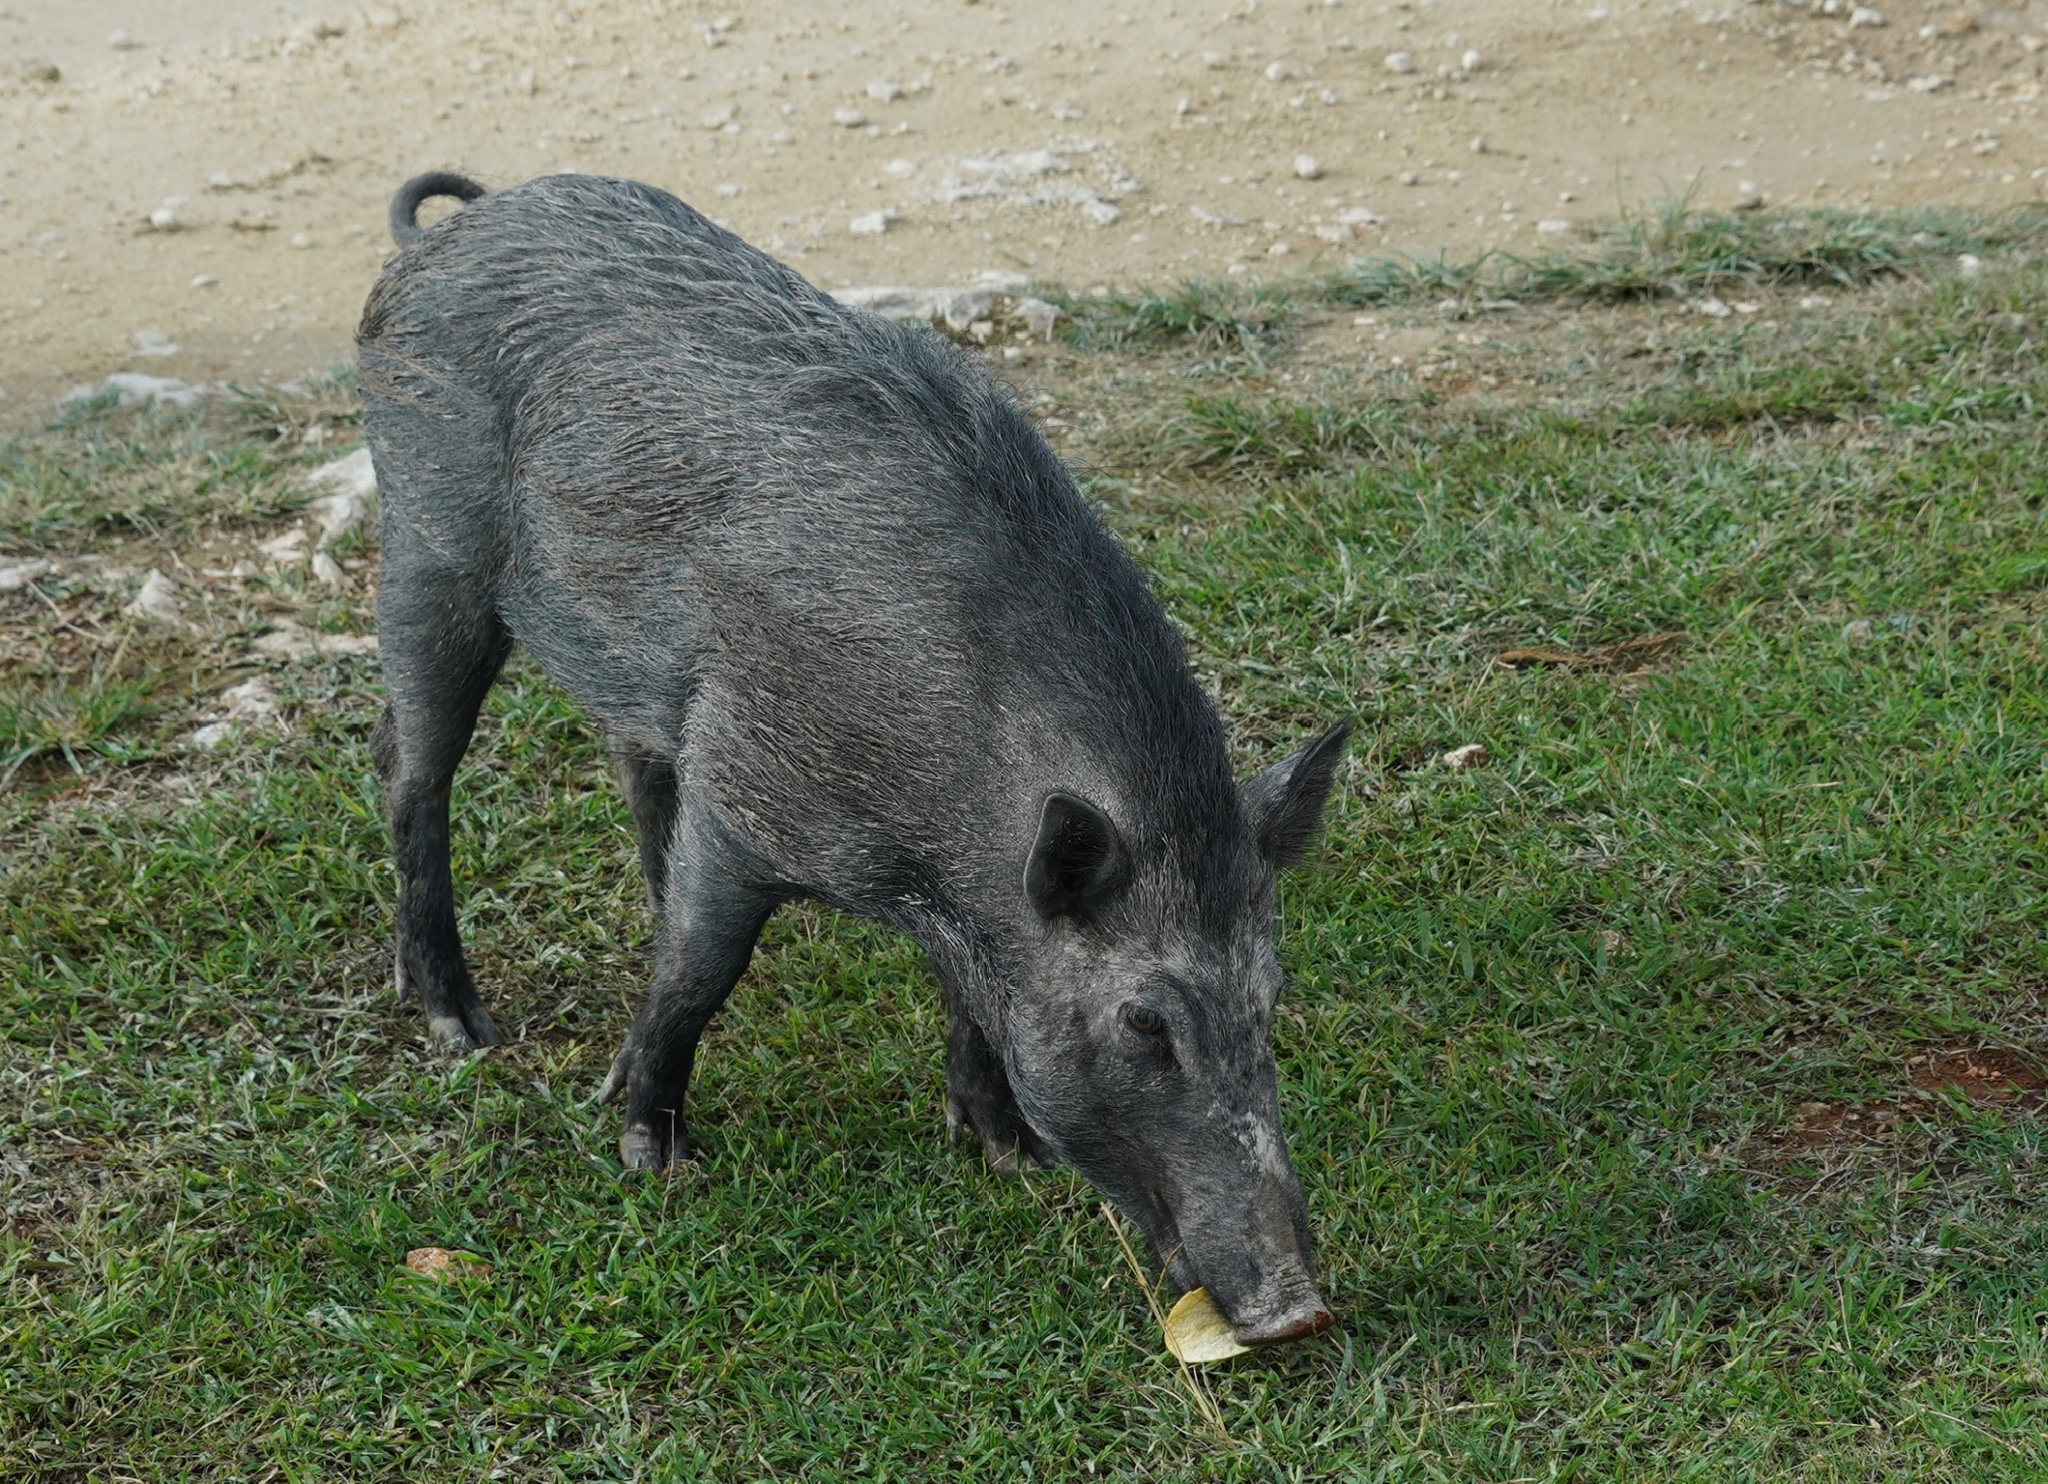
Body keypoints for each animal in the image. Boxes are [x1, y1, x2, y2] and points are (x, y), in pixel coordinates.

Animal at [360, 170, 1351, 1342]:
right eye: (1145, 1021)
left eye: (1271, 996)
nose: (1300, 1307)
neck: (933, 844)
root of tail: (458, 226)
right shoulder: (746, 795)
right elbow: (701, 971)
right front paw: (653, 1157)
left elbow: (967, 999)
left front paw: (1002, 1154)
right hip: (425, 547)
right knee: (409, 766)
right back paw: (460, 1029)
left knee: (624, 758)